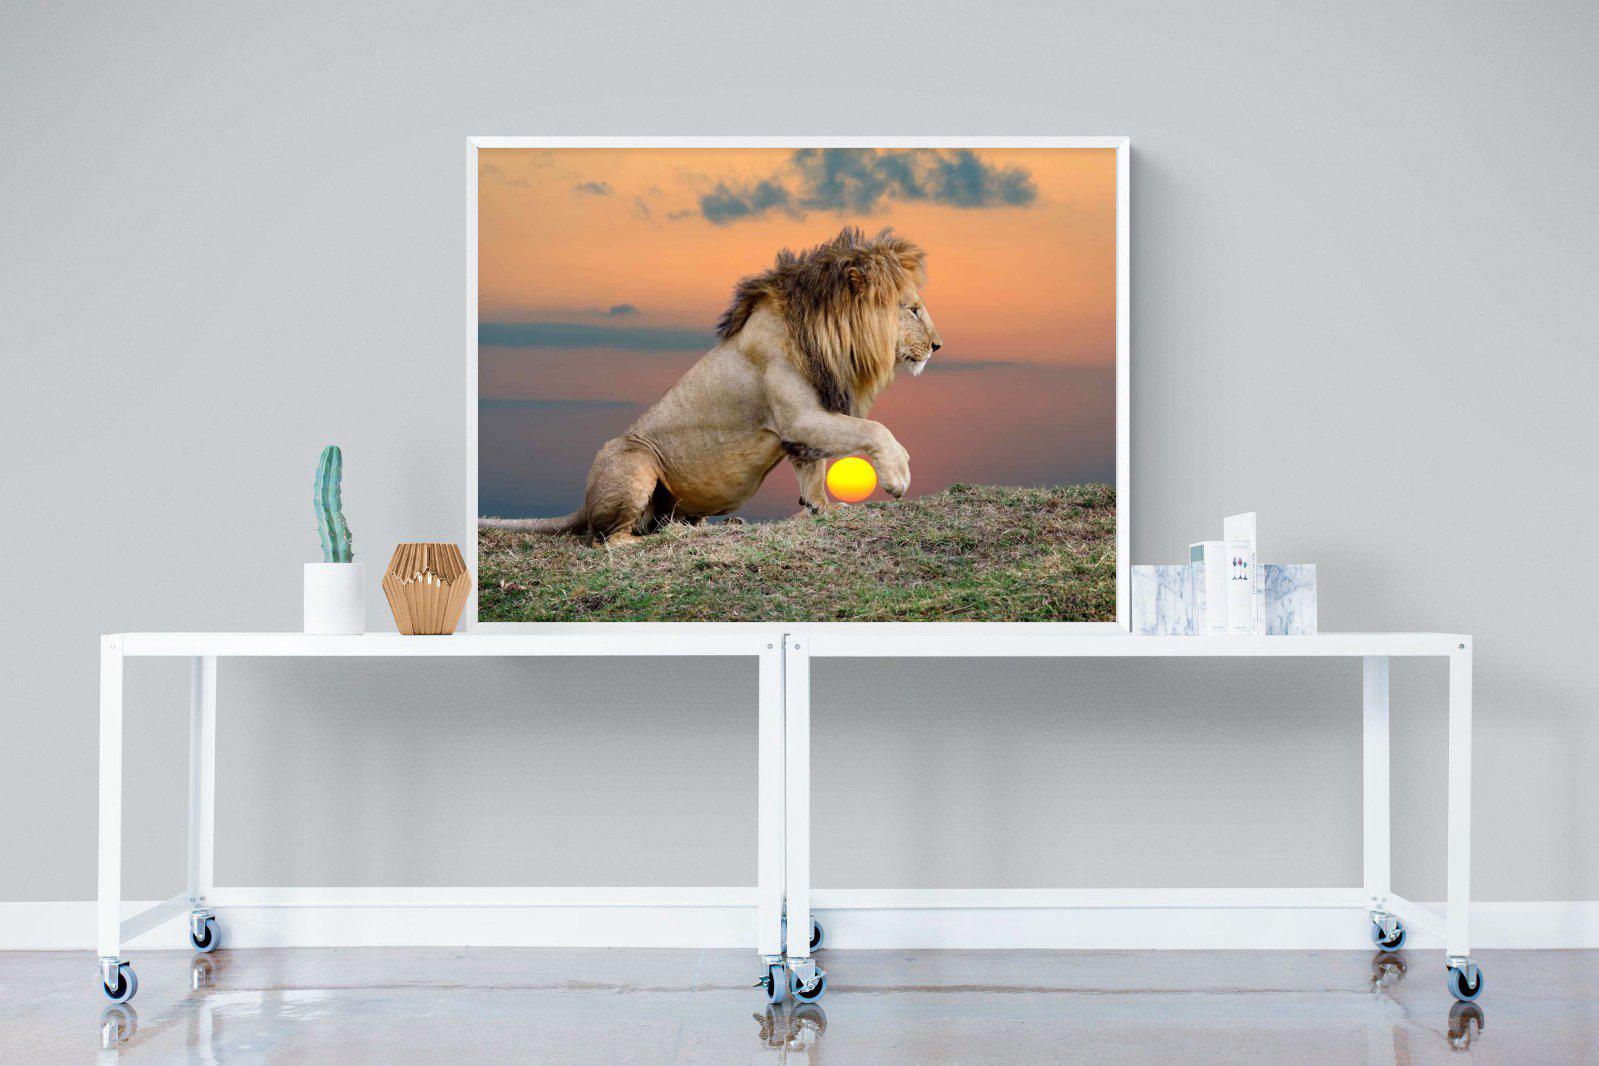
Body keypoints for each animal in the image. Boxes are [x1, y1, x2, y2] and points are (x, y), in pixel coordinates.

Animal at [481, 226, 941, 544]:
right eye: (913, 309)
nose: (938, 346)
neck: (827, 335)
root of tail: (583, 504)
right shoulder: (799, 417)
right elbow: (873, 429)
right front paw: (898, 474)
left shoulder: (800, 429)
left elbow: (813, 473)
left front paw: (820, 510)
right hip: (633, 459)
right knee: (609, 539)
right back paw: (669, 538)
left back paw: (712, 526)